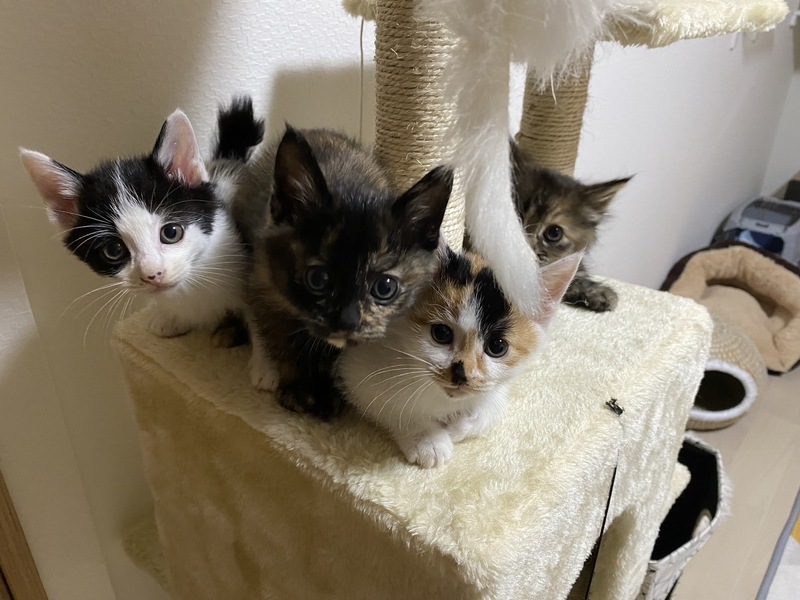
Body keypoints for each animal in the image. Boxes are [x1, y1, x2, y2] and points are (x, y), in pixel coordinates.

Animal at [238, 126, 452, 420]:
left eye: (385, 287)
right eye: (318, 279)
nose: (348, 321)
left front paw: (326, 388)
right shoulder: (264, 279)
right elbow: (279, 335)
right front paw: (298, 387)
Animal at [338, 247, 581, 468]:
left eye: (497, 346)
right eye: (441, 333)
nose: (462, 375)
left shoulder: (496, 387)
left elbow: (491, 408)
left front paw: (457, 426)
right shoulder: (356, 367)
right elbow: (389, 405)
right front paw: (428, 440)